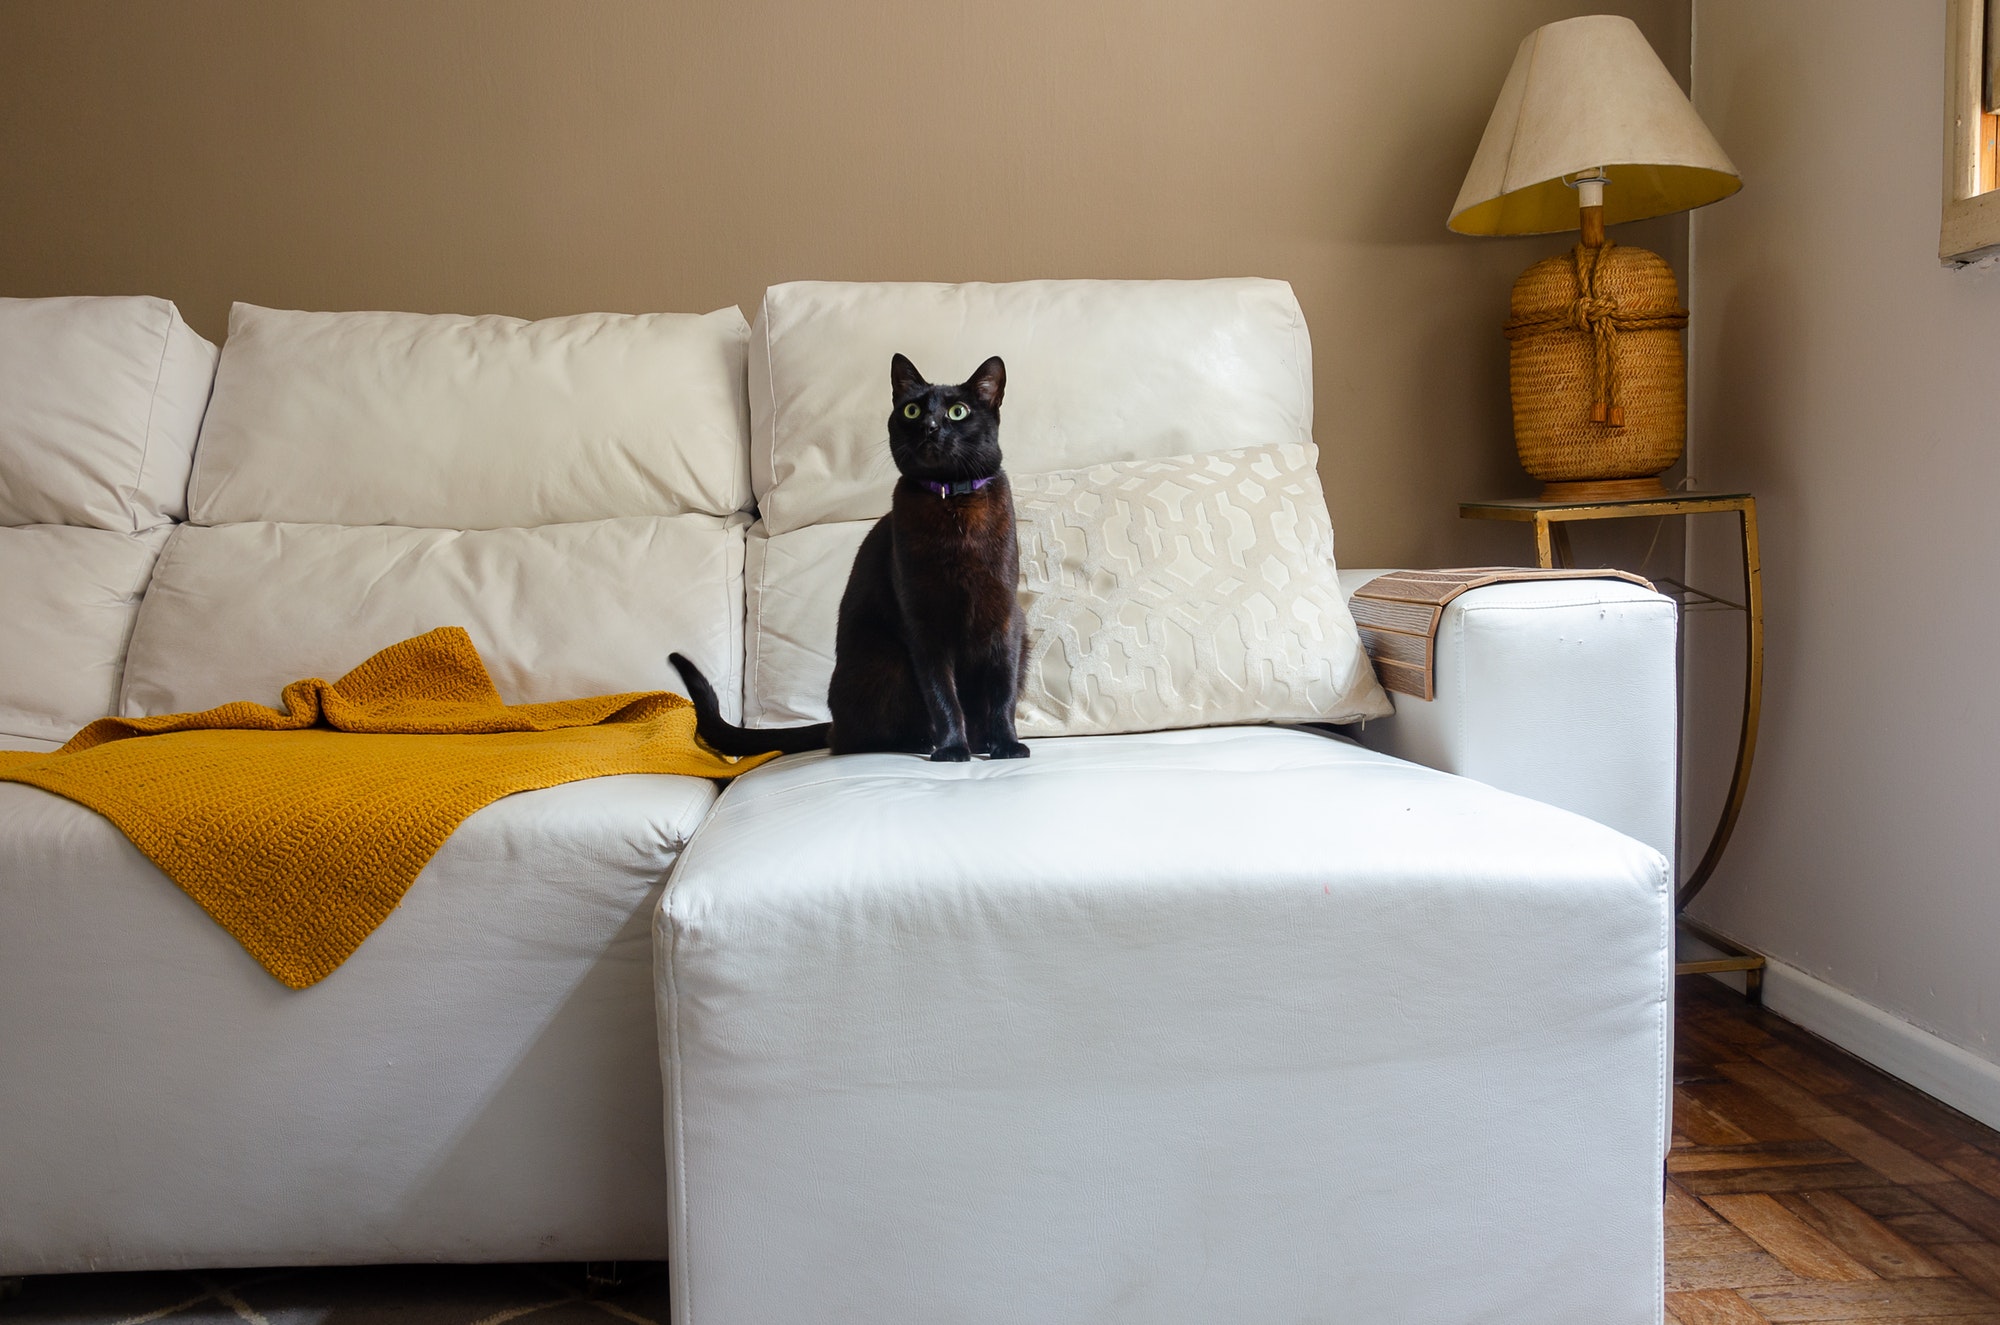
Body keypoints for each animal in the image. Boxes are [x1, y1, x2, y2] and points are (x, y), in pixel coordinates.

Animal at [672, 356, 1032, 768]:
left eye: (958, 412)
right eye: (911, 411)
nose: (930, 426)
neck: (952, 503)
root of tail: (833, 724)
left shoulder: (1004, 619)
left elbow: (1002, 693)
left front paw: (1006, 745)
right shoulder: (923, 626)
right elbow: (943, 696)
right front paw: (952, 750)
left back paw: (979, 742)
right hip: (887, 662)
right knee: (859, 739)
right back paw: (928, 742)